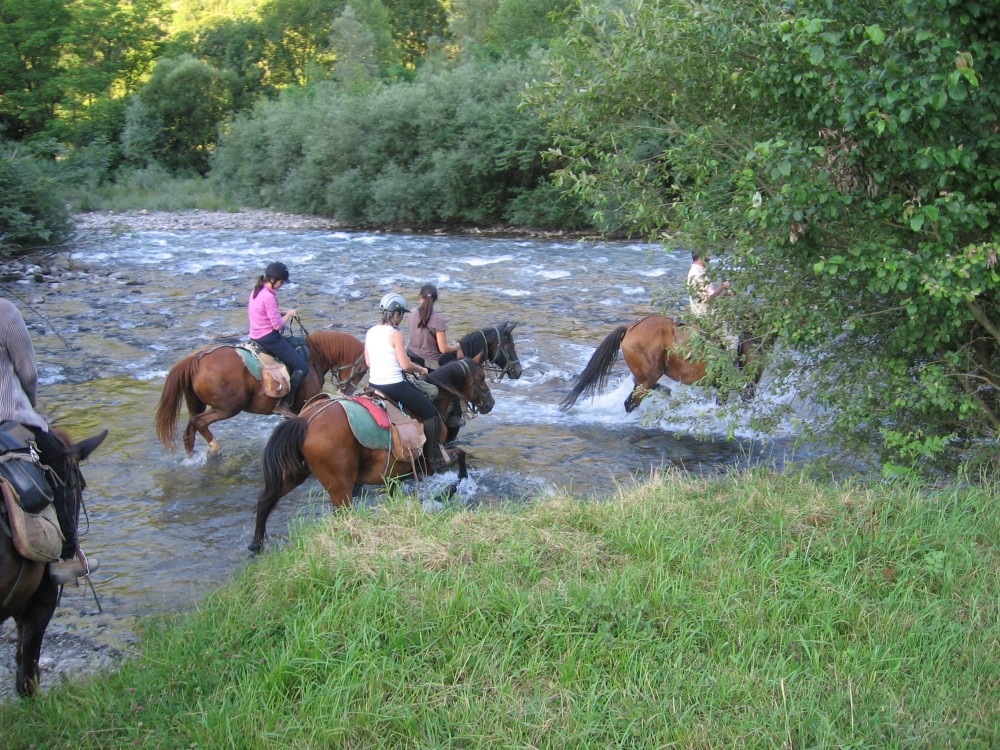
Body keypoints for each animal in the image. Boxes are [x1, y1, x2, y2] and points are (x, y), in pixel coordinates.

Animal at [158, 330, 370, 458]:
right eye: (361, 370)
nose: (346, 391)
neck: (313, 358)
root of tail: (195, 359)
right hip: (227, 408)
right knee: (200, 422)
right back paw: (214, 447)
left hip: (198, 404)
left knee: (190, 430)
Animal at [250, 356, 496, 556]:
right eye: (482, 377)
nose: (491, 403)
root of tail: (306, 420)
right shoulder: (430, 462)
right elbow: (461, 456)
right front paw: (453, 488)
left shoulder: (395, 473)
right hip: (340, 489)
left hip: (295, 472)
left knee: (266, 500)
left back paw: (256, 544)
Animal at [560, 314, 768, 414]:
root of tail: (630, 328)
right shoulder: (739, 388)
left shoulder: (724, 389)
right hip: (648, 378)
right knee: (631, 403)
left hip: (645, 377)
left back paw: (667, 394)